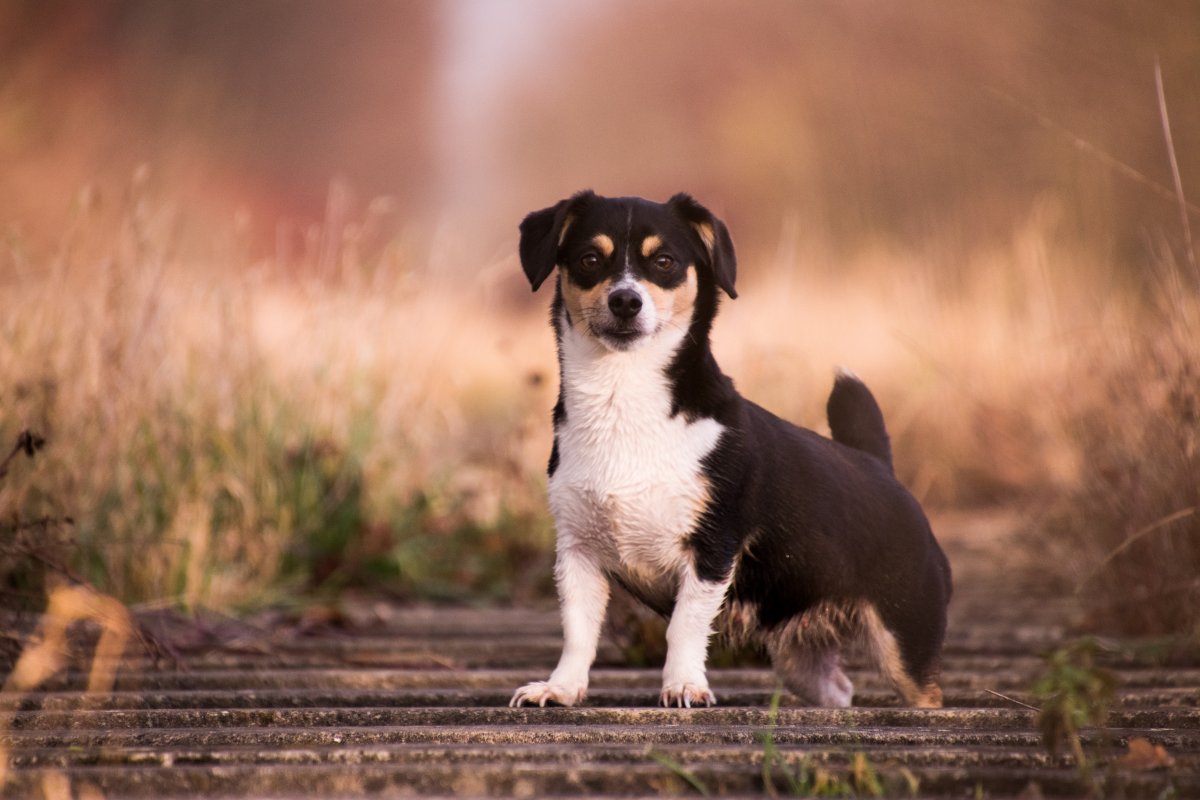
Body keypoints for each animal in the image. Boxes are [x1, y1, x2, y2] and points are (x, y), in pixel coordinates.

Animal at [511, 190, 950, 710]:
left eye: (664, 262)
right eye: (589, 260)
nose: (625, 300)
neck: (623, 397)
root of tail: (880, 467)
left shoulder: (712, 550)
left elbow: (684, 626)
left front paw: (683, 686)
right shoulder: (578, 553)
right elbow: (578, 631)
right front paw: (560, 688)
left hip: (906, 646)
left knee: (924, 692)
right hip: (803, 659)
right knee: (839, 689)